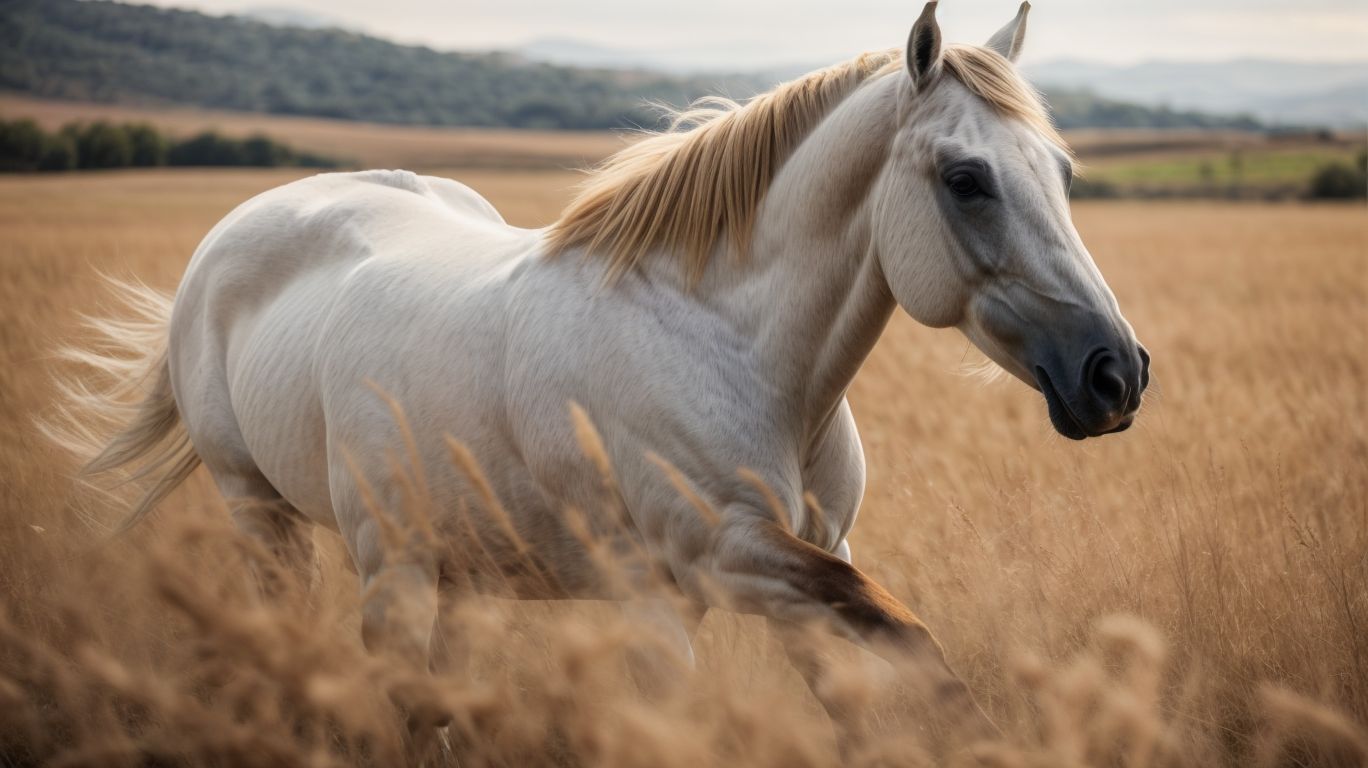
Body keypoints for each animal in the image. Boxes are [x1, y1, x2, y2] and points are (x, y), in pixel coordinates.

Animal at [57, 1, 1148, 752]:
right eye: (967, 180)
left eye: (1059, 171)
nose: (1115, 374)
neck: (730, 346)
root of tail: (235, 233)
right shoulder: (708, 571)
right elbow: (910, 650)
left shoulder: (806, 555)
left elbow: (873, 678)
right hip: (292, 529)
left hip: (446, 566)